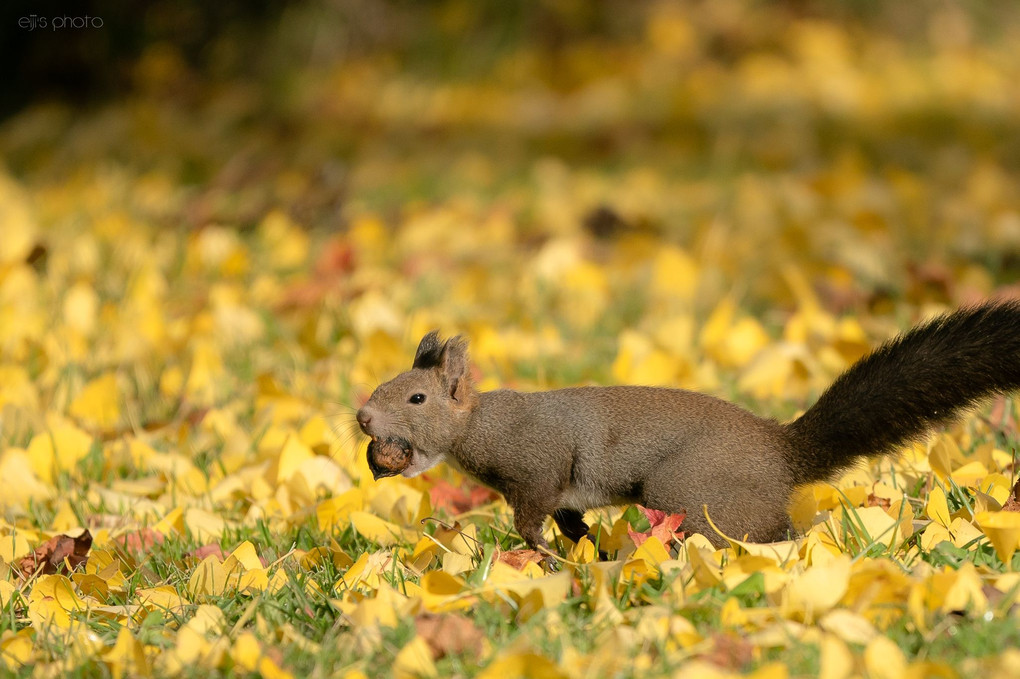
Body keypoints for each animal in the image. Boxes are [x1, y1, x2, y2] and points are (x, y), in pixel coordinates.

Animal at [357, 299, 1020, 554]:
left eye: (416, 396)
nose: (362, 417)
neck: (482, 425)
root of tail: (784, 451)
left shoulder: (537, 467)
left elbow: (531, 519)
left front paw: (540, 555)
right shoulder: (558, 490)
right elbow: (570, 519)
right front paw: (587, 548)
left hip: (688, 490)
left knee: (766, 532)